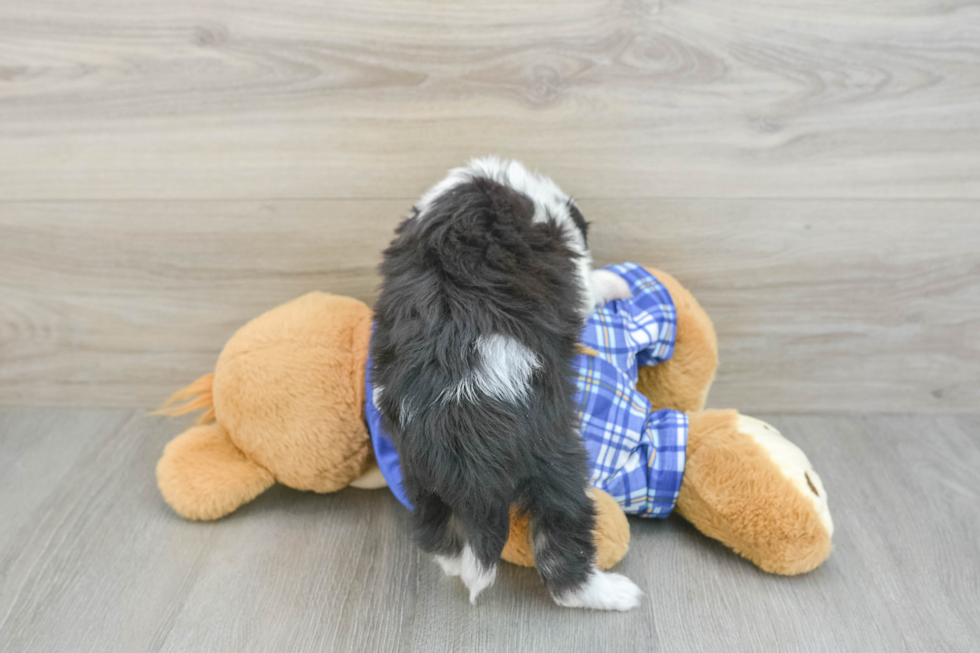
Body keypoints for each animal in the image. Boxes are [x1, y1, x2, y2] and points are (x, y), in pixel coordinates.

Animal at [372, 158, 640, 612]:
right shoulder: (572, 266)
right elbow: (590, 283)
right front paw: (617, 283)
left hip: (420, 476)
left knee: (434, 532)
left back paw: (454, 563)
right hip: (558, 467)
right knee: (561, 555)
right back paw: (614, 594)